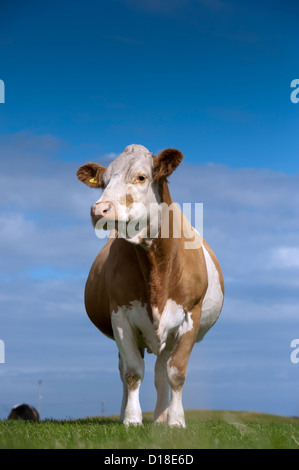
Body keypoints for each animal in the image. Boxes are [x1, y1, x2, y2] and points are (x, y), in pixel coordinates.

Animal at [77, 145, 225, 428]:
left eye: (141, 177)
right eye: (104, 182)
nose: (98, 209)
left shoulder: (190, 316)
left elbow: (176, 373)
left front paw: (175, 421)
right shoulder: (121, 316)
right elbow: (133, 372)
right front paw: (132, 418)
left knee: (160, 373)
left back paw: (160, 418)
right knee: (126, 370)